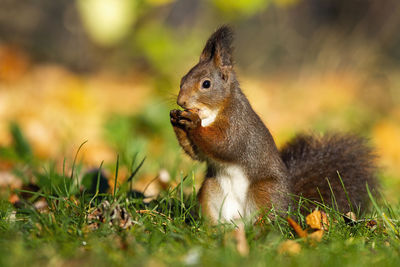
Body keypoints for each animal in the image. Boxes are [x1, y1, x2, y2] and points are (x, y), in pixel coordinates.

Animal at [170, 26, 378, 225]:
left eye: (206, 84)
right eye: (182, 79)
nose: (181, 102)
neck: (210, 113)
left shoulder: (238, 124)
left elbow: (225, 144)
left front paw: (193, 124)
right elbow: (197, 153)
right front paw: (175, 121)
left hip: (266, 191)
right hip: (211, 189)